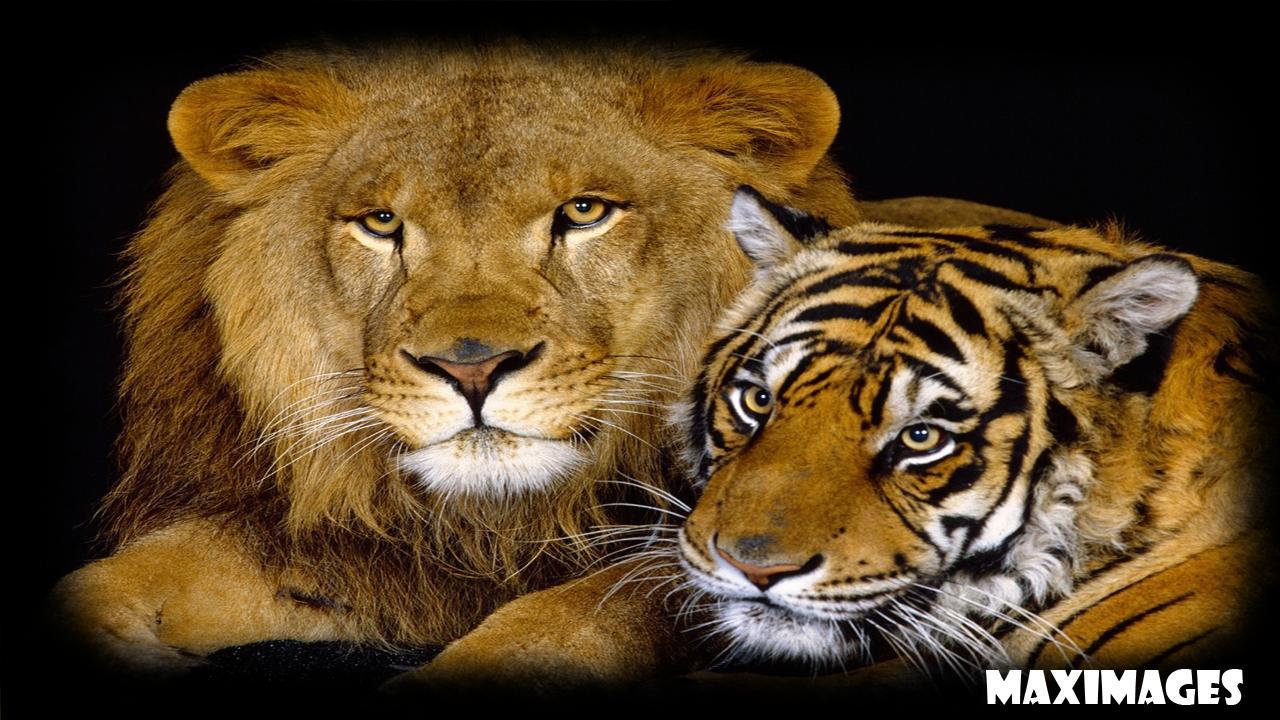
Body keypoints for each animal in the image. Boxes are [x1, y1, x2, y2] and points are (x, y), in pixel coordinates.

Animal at [50, 41, 1052, 686]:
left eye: (584, 212)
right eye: (381, 222)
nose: (472, 368)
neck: (504, 521)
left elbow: (571, 617)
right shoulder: (361, 552)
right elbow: (134, 576)